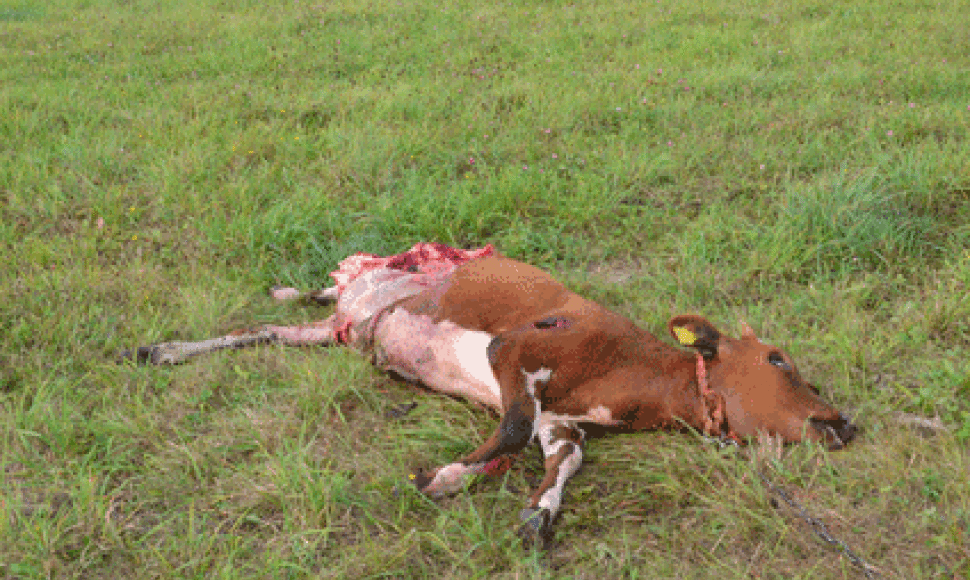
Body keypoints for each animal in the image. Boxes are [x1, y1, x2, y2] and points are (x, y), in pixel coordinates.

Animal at [126, 244, 856, 544]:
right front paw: (446, 475)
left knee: (270, 331)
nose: (844, 421)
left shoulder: (562, 422)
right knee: (315, 291)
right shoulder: (517, 350)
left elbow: (563, 459)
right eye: (779, 359)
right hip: (381, 284)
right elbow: (508, 429)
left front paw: (538, 514)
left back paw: (170, 349)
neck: (630, 373)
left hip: (337, 334)